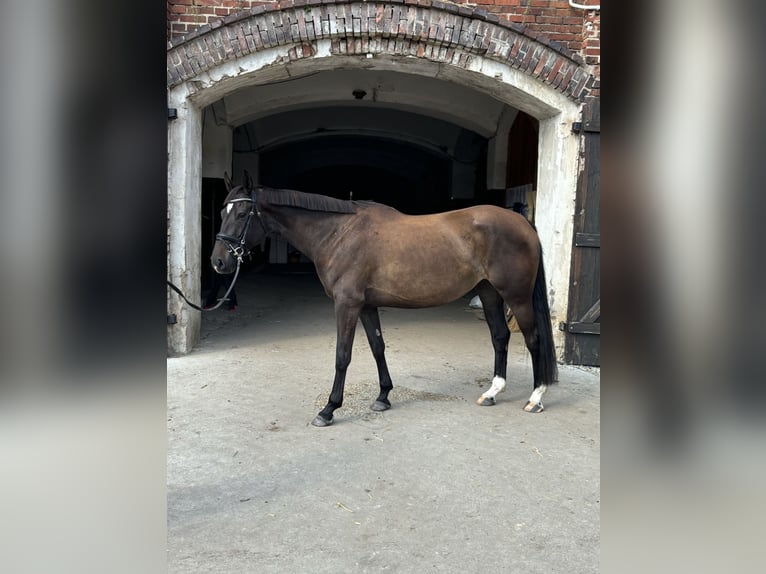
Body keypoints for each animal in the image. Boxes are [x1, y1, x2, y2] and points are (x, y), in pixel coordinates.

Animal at [211, 182, 558, 427]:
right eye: (222, 213)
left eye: (240, 215)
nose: (218, 262)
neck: (339, 233)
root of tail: (524, 224)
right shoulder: (366, 306)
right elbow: (378, 347)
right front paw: (383, 397)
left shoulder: (347, 305)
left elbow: (342, 356)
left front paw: (329, 409)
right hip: (489, 293)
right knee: (500, 337)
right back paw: (492, 393)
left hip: (516, 297)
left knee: (533, 340)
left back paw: (536, 397)